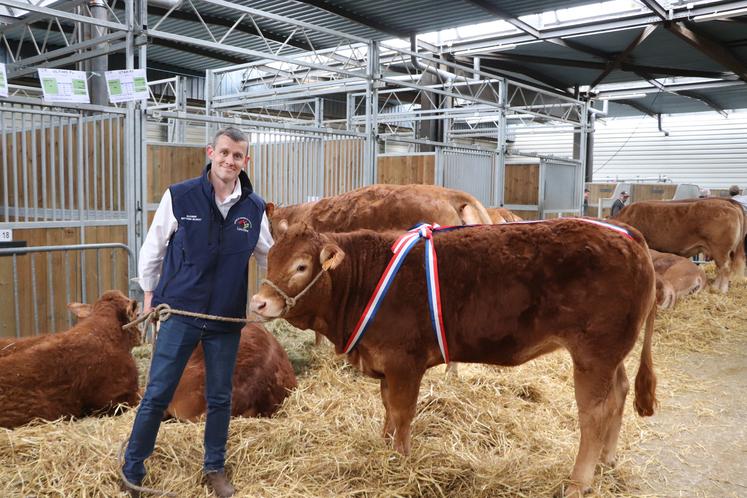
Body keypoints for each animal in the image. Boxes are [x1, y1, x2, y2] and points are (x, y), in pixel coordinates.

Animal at [253, 220, 660, 496]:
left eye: (301, 266)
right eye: (270, 258)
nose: (259, 302)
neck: (366, 279)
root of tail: (626, 233)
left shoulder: (404, 362)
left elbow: (402, 412)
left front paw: (401, 459)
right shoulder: (385, 363)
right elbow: (387, 410)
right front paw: (384, 447)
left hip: (594, 354)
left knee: (595, 413)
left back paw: (578, 481)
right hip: (610, 356)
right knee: (620, 393)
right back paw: (607, 460)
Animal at [612, 197, 747, 294]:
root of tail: (728, 203)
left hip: (720, 249)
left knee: (725, 268)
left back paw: (721, 290)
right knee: (720, 269)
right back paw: (714, 288)